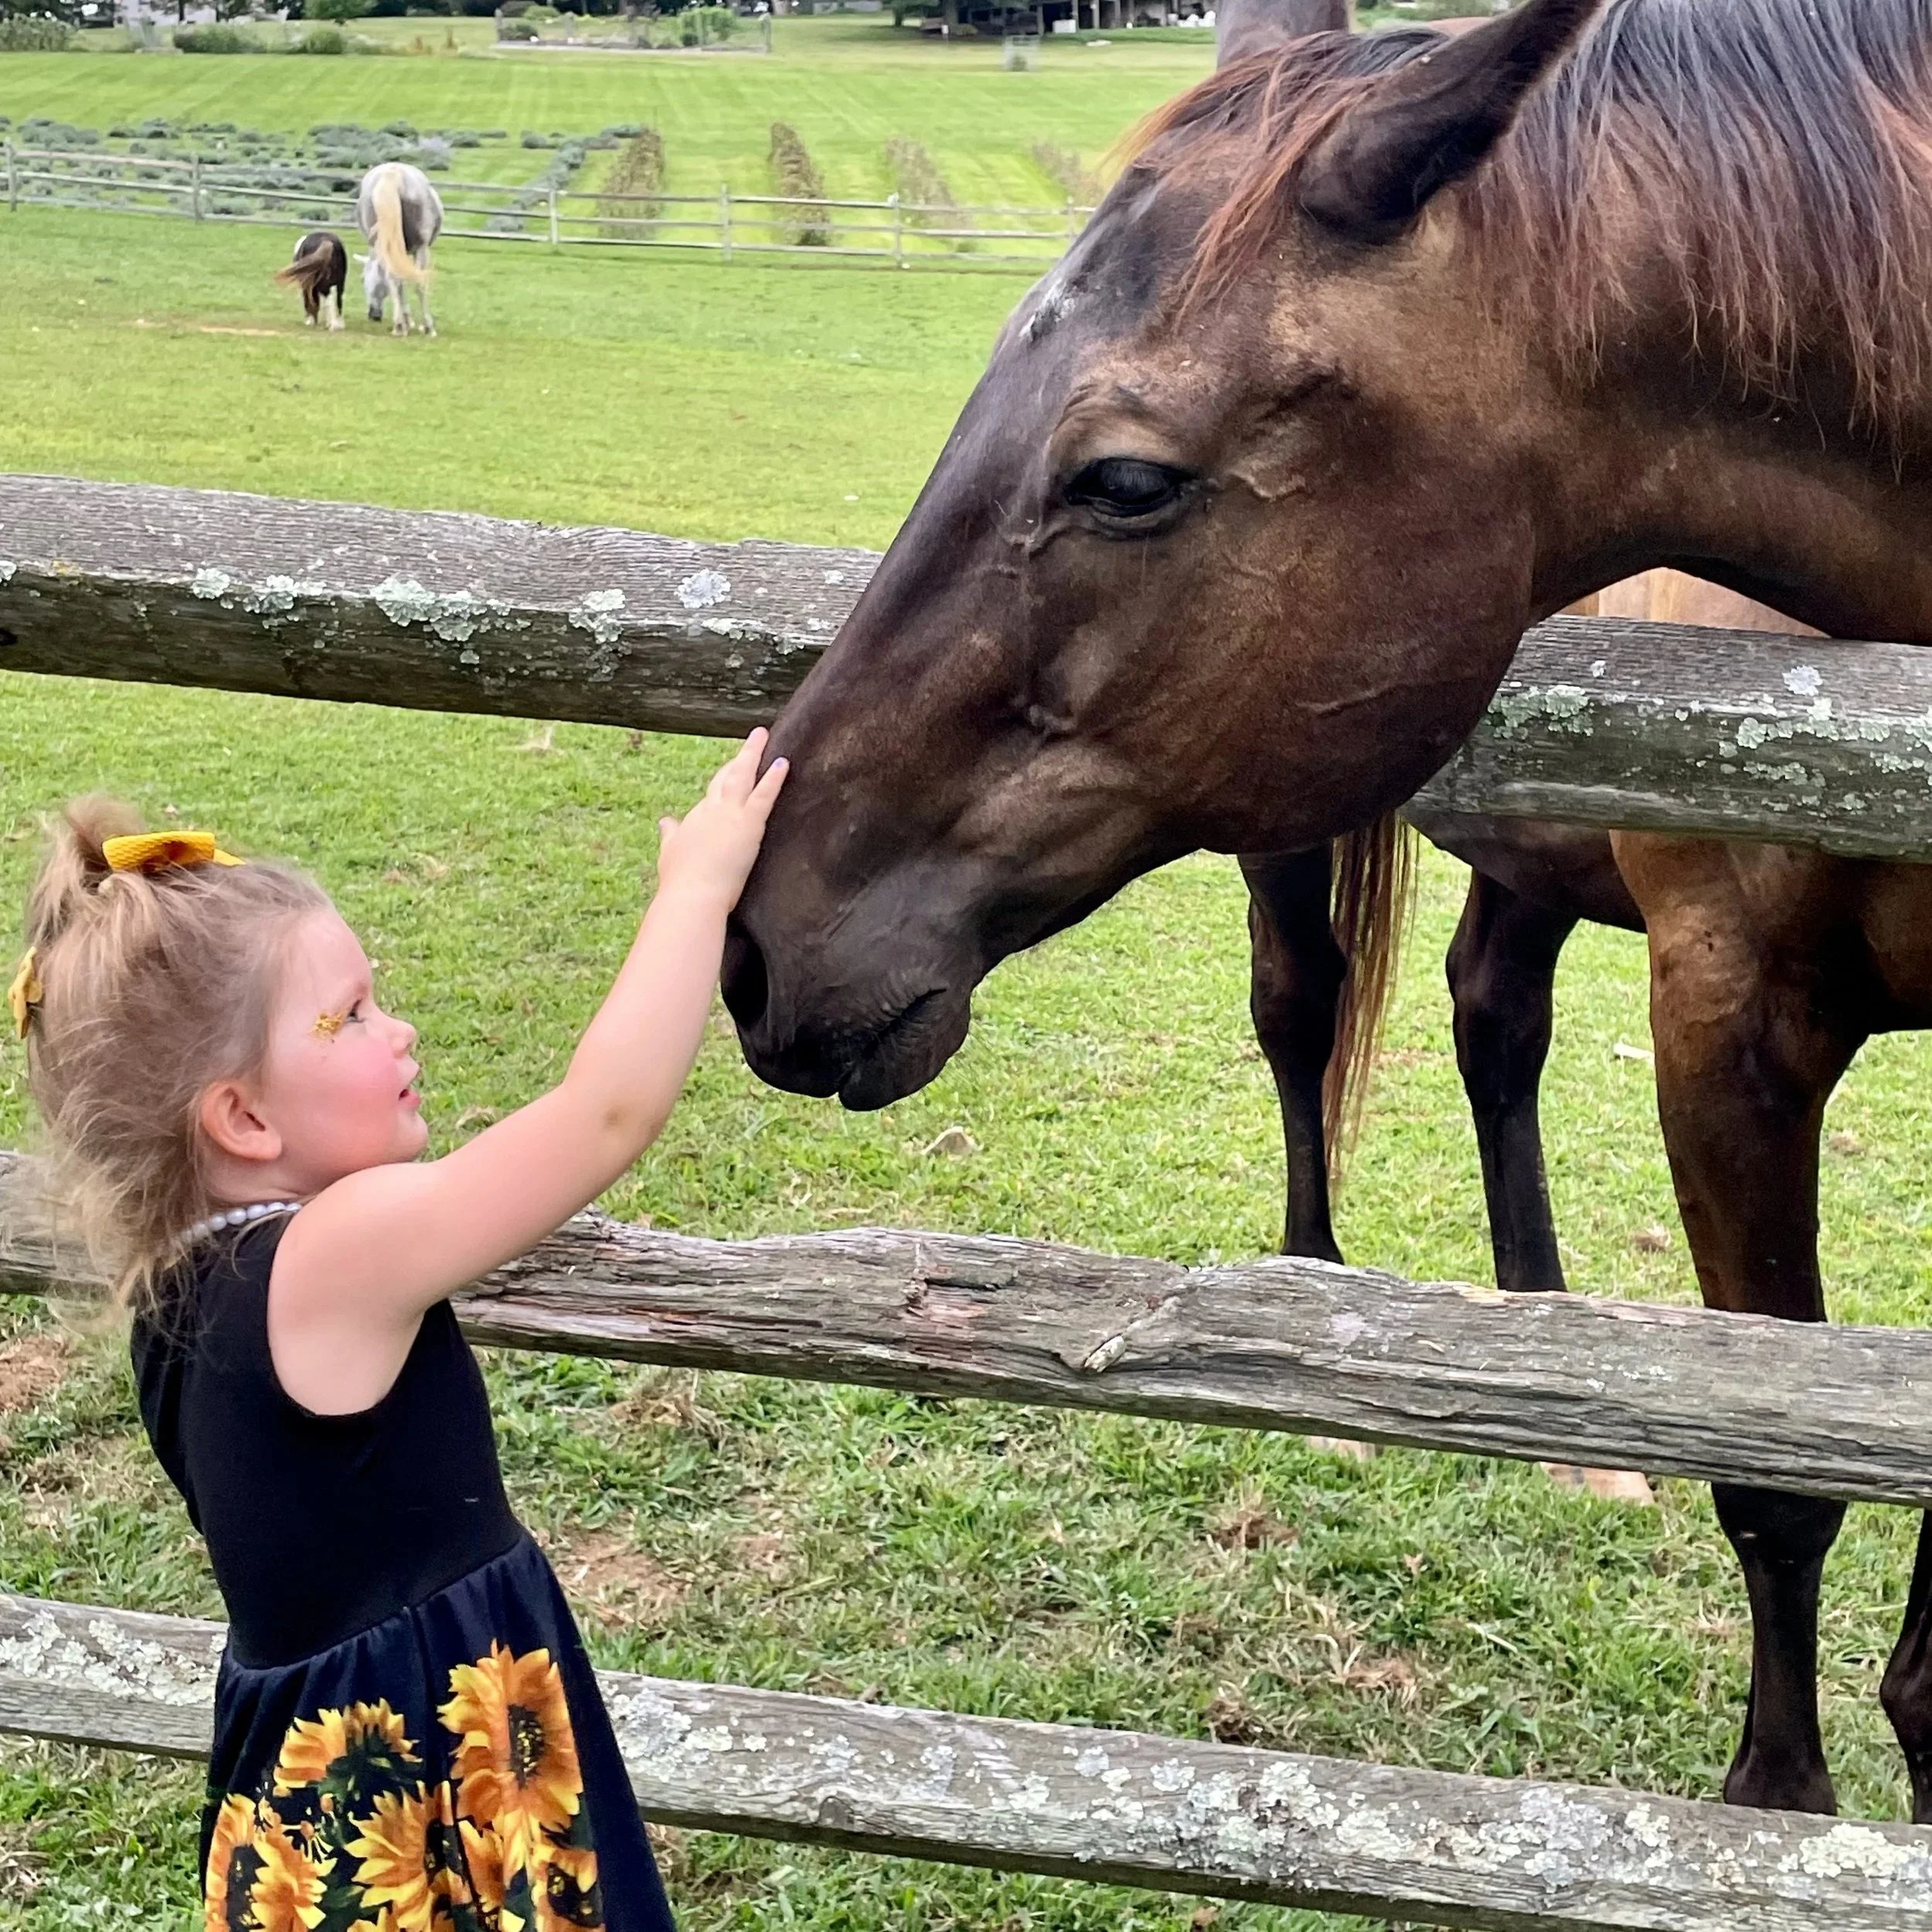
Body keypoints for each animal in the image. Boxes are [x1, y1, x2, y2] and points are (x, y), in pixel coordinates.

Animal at [275, 231, 347, 332]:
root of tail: (328, 241)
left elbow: (309, 300)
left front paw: (310, 321)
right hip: (340, 283)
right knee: (339, 300)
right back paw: (338, 324)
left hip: (323, 285)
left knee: (329, 300)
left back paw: (333, 326)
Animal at [355, 162, 442, 338]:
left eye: (362, 279)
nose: (373, 315)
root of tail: (392, 175)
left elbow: (399, 283)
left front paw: (406, 321)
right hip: (421, 249)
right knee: (419, 283)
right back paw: (426, 326)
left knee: (394, 278)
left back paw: (399, 325)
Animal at [726, 0, 1932, 1822]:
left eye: (1124, 479)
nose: (747, 944)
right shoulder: (1730, 1021)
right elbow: (1779, 1472)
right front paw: (1779, 1809)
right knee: (1306, 1013)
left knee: (1491, 1020)